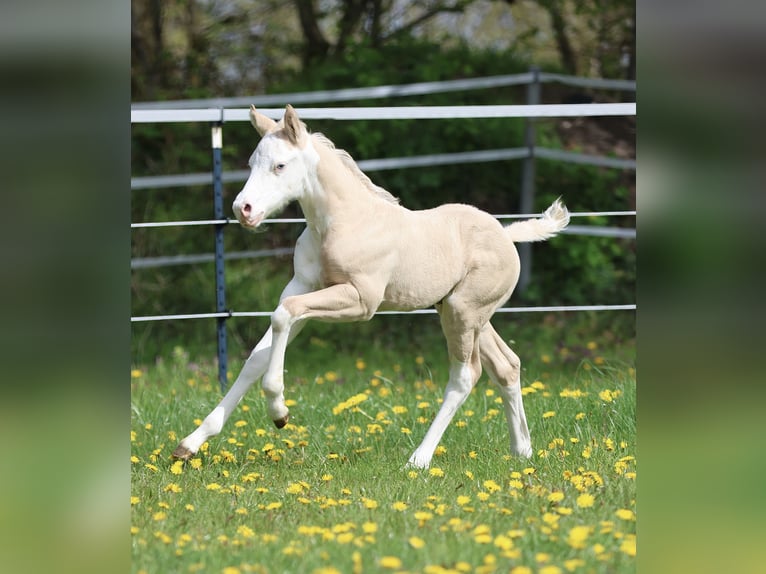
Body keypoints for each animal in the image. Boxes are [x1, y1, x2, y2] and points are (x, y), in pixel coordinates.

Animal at [173, 104, 570, 468]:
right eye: (253, 162)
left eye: (280, 166)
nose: (243, 209)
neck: (345, 222)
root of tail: (506, 235)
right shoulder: (302, 285)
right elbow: (258, 354)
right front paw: (191, 442)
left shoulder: (360, 301)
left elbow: (283, 317)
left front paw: (279, 412)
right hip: (465, 314)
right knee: (507, 366)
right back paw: (522, 451)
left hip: (462, 314)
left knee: (465, 376)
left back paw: (419, 460)